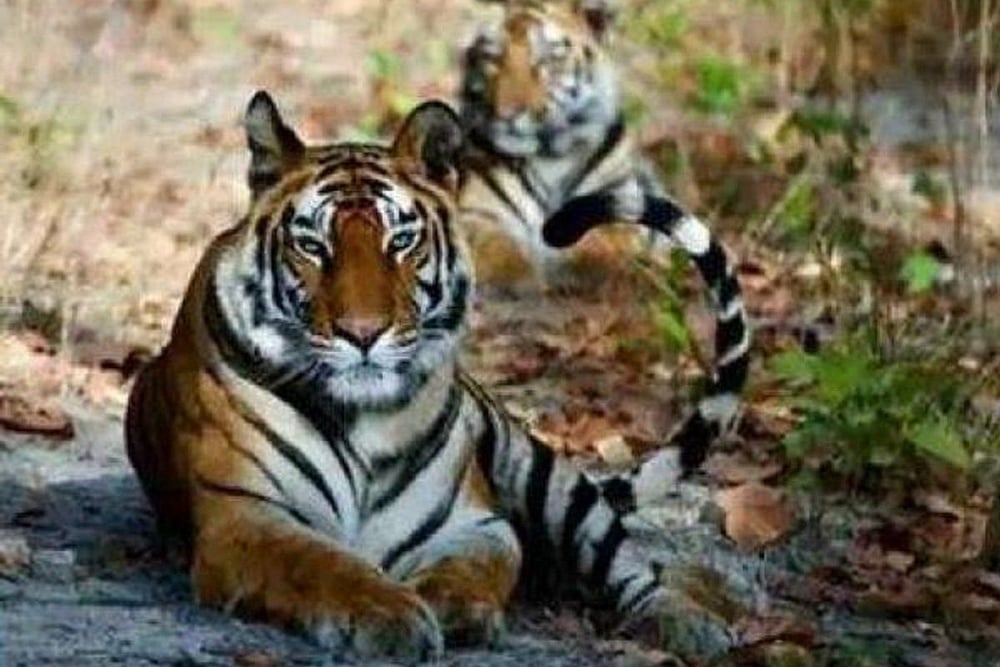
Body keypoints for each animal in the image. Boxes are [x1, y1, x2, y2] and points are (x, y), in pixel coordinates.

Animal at [125, 91, 744, 663]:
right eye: (312, 246)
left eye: (400, 242)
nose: (363, 333)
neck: (365, 423)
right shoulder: (246, 516)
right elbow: (323, 563)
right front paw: (392, 614)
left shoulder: (476, 523)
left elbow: (472, 568)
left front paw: (453, 608)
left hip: (547, 478)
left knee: (631, 565)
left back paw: (694, 621)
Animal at [459, 0, 751, 474]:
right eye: (492, 58)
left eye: (548, 60)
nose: (509, 114)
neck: (550, 155)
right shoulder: (476, 213)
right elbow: (501, 249)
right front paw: (528, 276)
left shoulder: (621, 202)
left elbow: (608, 244)